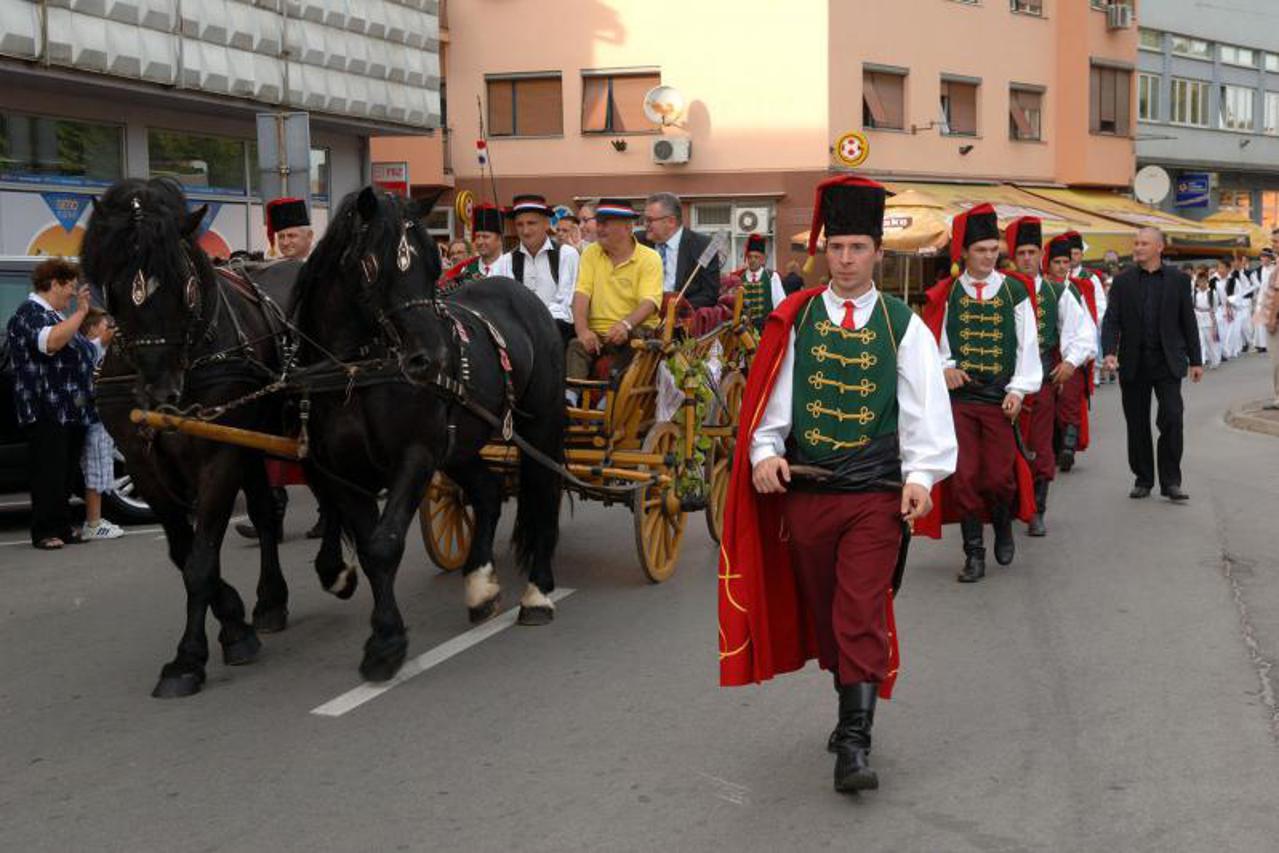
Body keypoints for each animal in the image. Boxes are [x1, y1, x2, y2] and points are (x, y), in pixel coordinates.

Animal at [81, 176, 295, 695]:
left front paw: (190, 657)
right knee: (264, 513)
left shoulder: (217, 453)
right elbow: (186, 551)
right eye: (115, 287)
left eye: (184, 284)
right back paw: (270, 601)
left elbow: (200, 560)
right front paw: (233, 620)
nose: (161, 393)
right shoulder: (143, 463)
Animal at [296, 186, 567, 680]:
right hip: (461, 442)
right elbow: (369, 547)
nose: (435, 358)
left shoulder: (416, 454)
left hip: (540, 423)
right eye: (371, 264)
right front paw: (384, 635)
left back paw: (538, 593)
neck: (358, 372)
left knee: (542, 492)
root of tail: (522, 293)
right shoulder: (341, 472)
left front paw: (386, 643)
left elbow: (384, 544)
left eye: (433, 264)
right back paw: (480, 584)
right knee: (487, 491)